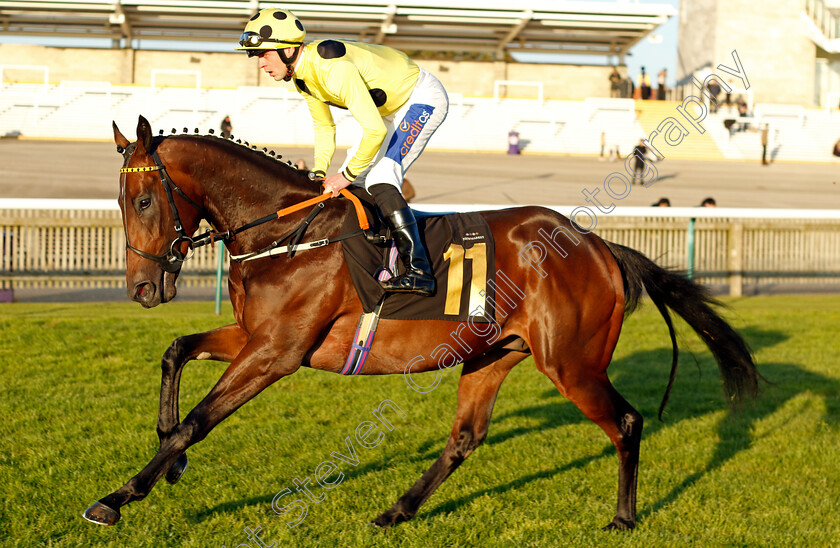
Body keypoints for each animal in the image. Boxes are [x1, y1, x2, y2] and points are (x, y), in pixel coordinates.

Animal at [85, 115, 760, 532]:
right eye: (118, 202)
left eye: (144, 200)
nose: (142, 288)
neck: (286, 232)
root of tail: (598, 245)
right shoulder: (257, 338)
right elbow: (176, 351)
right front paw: (168, 462)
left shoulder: (279, 350)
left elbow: (197, 422)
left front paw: (118, 497)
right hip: (493, 353)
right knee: (465, 437)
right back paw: (398, 510)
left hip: (571, 363)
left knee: (625, 422)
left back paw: (622, 518)